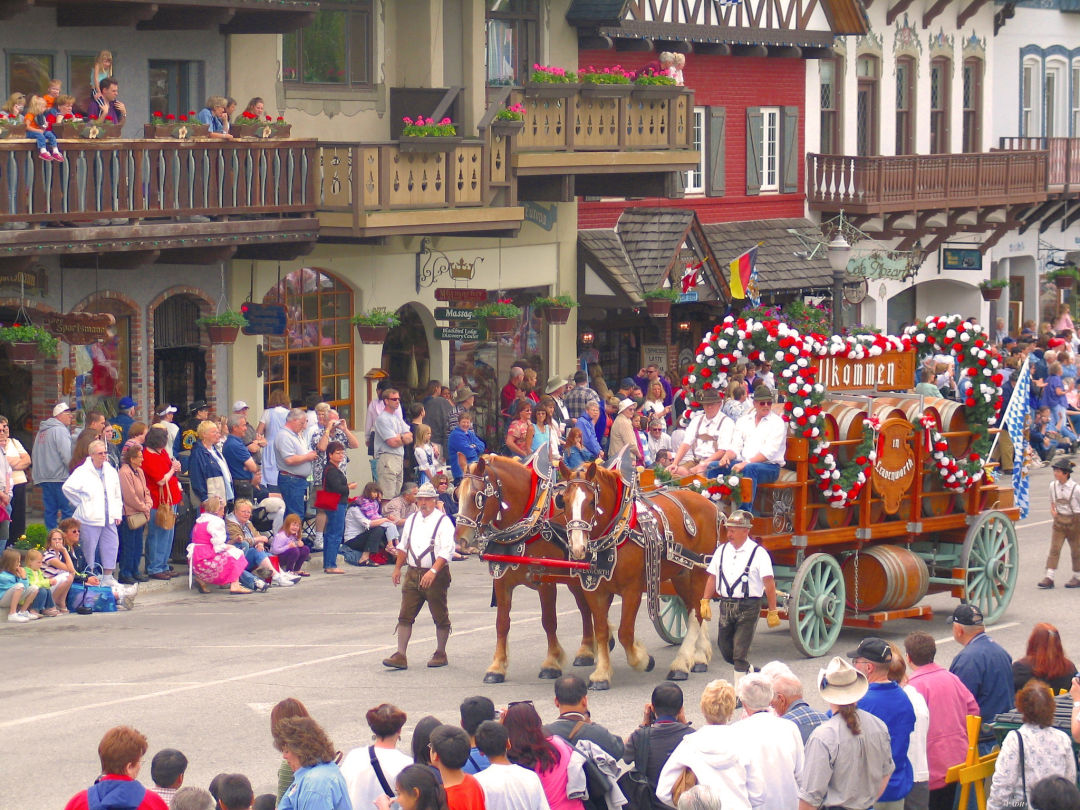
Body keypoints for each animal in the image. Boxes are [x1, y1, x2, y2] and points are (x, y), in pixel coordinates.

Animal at [453, 457, 604, 686]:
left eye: (478, 497)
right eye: (456, 494)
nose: (460, 539)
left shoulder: (545, 581)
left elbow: (549, 620)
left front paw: (551, 663)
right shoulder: (501, 580)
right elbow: (502, 623)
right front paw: (497, 667)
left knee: (588, 608)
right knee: (585, 608)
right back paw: (587, 650)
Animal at [557, 462, 725, 691]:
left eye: (591, 501)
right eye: (563, 500)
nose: (577, 548)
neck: (617, 534)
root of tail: (709, 503)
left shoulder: (632, 591)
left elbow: (625, 633)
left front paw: (643, 660)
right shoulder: (594, 589)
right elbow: (601, 630)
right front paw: (601, 674)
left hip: (699, 571)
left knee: (697, 613)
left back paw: (681, 663)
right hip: (682, 573)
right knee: (692, 607)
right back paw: (699, 657)